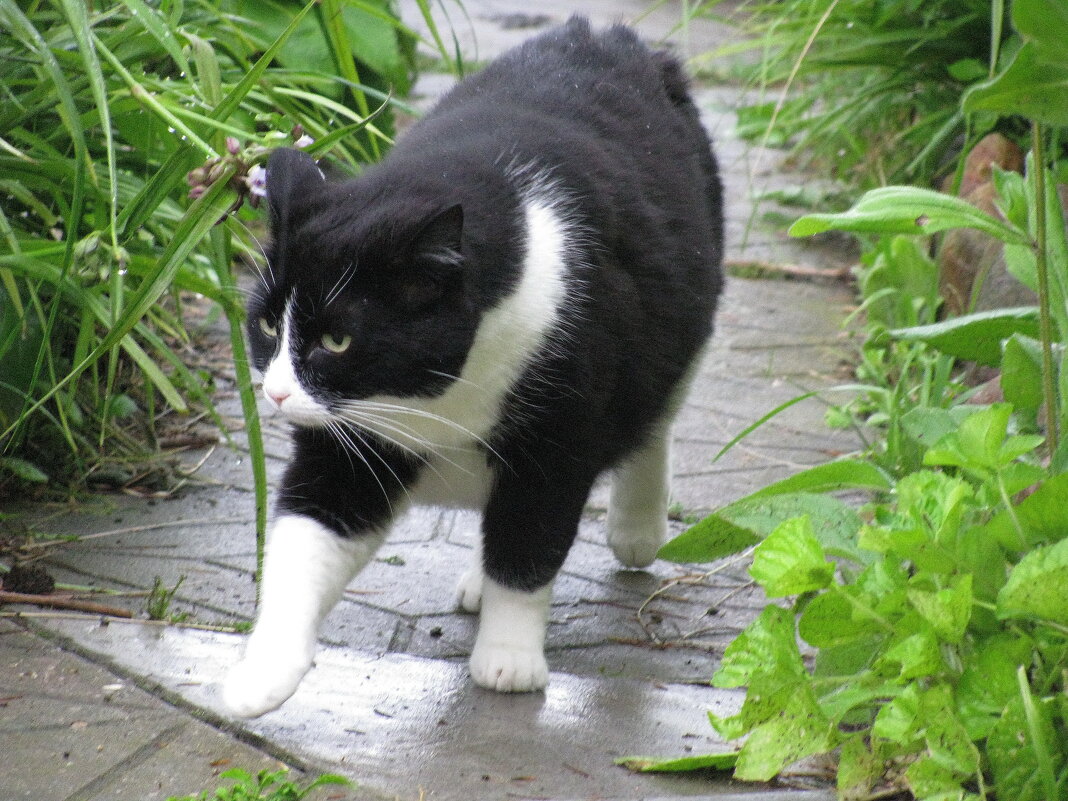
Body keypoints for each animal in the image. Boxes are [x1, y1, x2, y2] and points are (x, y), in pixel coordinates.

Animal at [220, 15, 721, 721]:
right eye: (268, 325)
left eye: (337, 341)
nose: (277, 393)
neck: (432, 403)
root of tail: (605, 34)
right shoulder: (349, 448)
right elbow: (302, 542)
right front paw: (261, 673)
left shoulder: (556, 445)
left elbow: (527, 548)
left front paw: (508, 660)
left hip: (684, 321)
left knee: (655, 417)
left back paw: (636, 529)